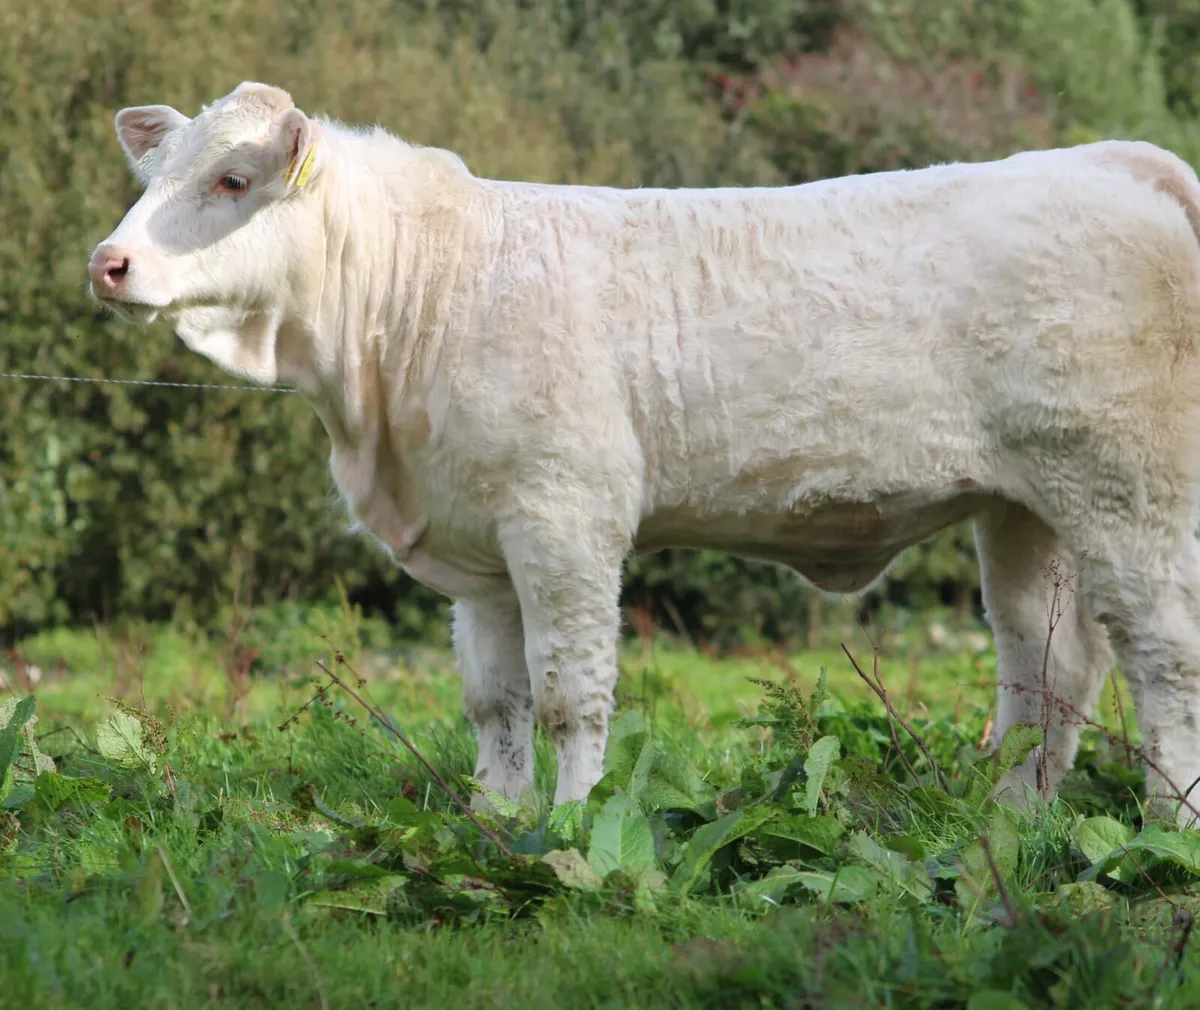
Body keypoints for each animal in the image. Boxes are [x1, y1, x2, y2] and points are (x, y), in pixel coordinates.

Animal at [89, 81, 1200, 825]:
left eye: (233, 179)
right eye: (153, 175)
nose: (110, 262)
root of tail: (1105, 159)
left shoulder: (563, 518)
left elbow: (568, 692)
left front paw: (572, 825)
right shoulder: (478, 547)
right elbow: (494, 698)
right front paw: (496, 819)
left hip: (1126, 488)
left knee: (1162, 652)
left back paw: (1167, 821)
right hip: (1025, 509)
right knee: (1048, 661)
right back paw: (1016, 816)